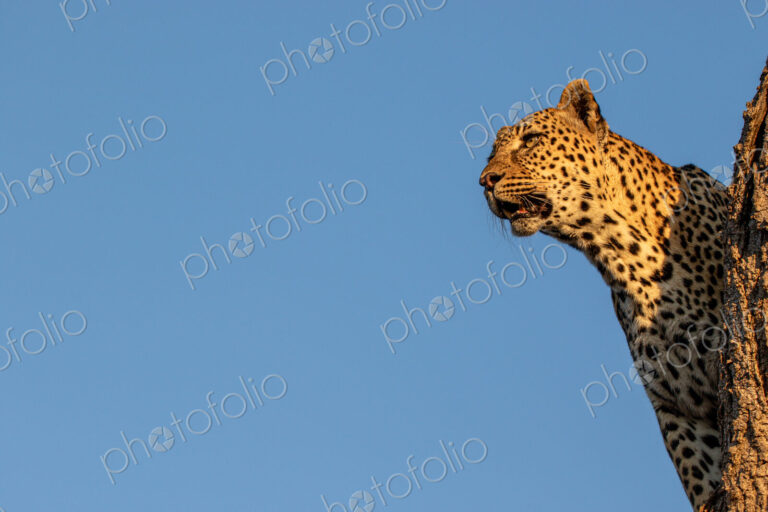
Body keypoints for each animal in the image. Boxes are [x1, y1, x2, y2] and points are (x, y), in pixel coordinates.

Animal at [478, 79, 729, 510]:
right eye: (492, 153)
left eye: (531, 140)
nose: (484, 180)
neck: (620, 253)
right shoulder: (677, 405)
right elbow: (699, 476)